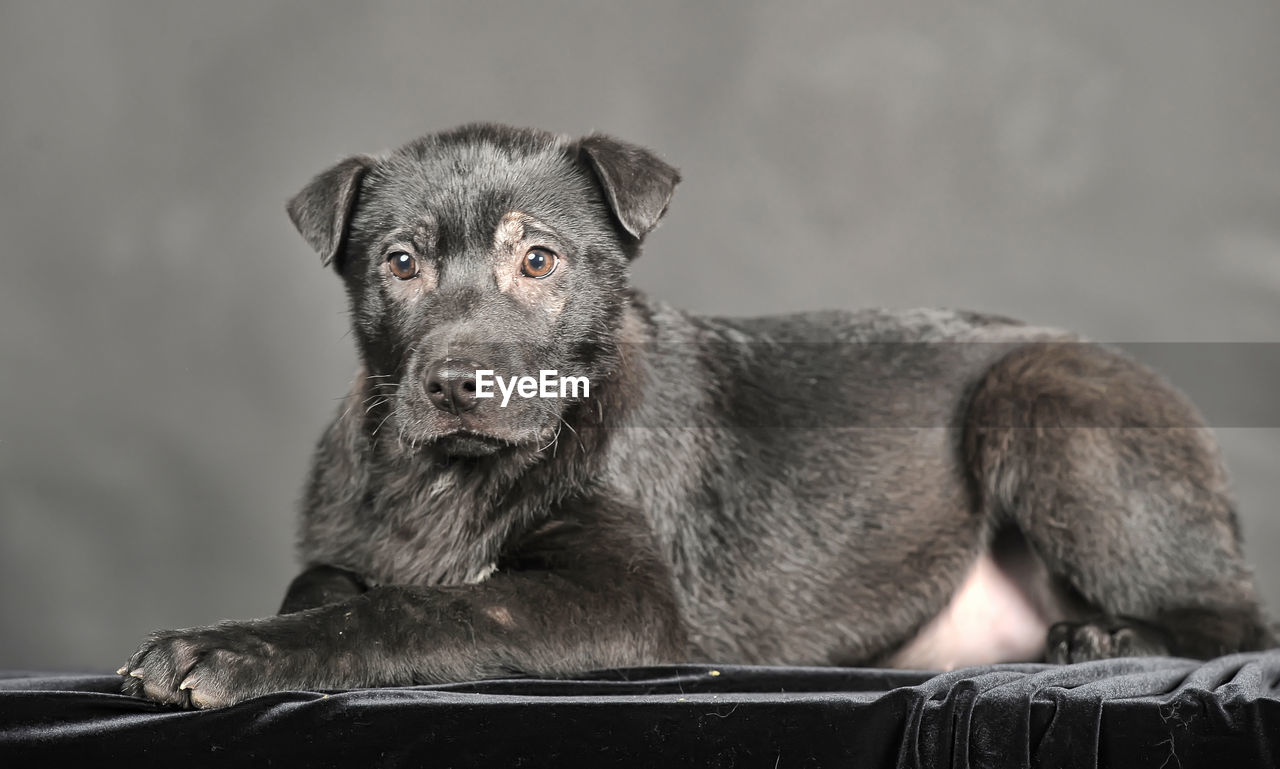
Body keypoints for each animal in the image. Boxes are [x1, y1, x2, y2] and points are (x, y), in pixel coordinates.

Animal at [117, 124, 1269, 706]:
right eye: (399, 263)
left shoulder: (625, 604)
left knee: (1237, 619)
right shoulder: (347, 542)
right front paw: (267, 629)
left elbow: (431, 607)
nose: (457, 384)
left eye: (540, 261)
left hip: (1037, 398)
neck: (456, 470)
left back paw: (1108, 633)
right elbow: (326, 584)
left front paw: (228, 652)